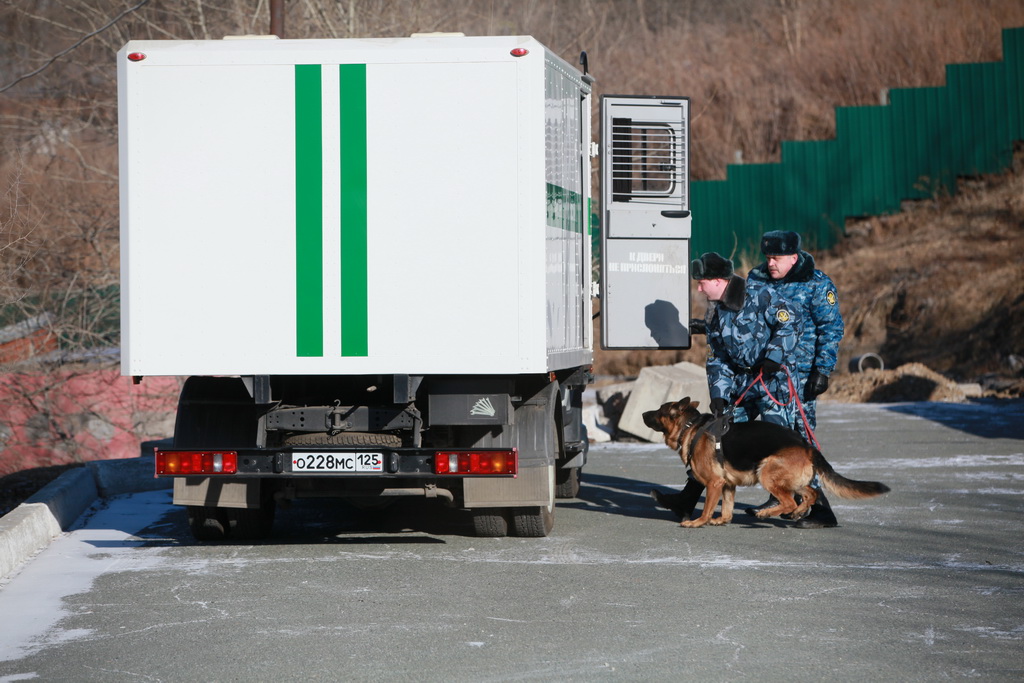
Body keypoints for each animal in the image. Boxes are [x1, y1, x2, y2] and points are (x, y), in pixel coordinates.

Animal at [638, 395, 888, 528]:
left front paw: (698, 522)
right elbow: (727, 509)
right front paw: (722, 520)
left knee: (789, 501)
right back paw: (798, 513)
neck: (691, 427)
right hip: (793, 479)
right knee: (811, 493)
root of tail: (807, 446)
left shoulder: (714, 483)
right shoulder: (727, 485)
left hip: (766, 471)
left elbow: (708, 507)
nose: (641, 414)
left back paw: (767, 514)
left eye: (659, 410)